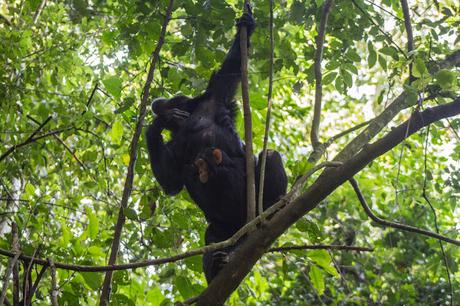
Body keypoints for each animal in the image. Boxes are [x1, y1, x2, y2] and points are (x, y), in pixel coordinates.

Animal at [146, 7, 286, 280]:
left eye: (176, 96)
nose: (159, 102)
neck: (188, 122)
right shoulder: (174, 147)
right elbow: (171, 181)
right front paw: (154, 125)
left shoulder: (216, 95)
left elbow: (230, 68)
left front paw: (247, 25)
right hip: (226, 226)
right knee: (210, 225)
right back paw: (216, 265)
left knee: (271, 155)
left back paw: (270, 209)